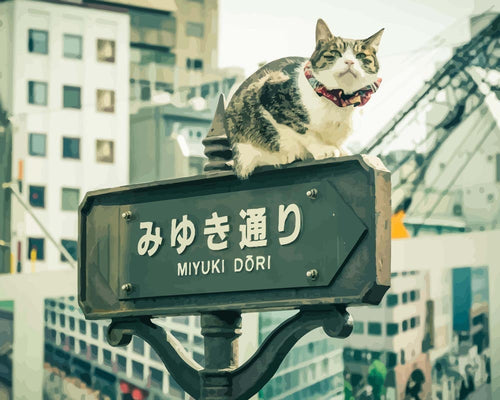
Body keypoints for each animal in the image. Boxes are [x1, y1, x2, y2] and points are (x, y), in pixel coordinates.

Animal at [225, 18, 384, 178]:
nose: (350, 62)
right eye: (335, 52)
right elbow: (303, 131)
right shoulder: (268, 94)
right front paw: (323, 149)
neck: (340, 99)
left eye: (361, 56)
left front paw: (342, 150)